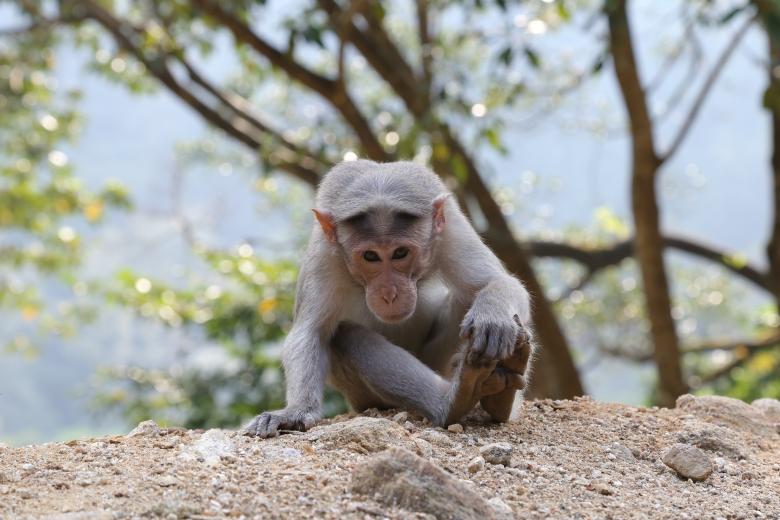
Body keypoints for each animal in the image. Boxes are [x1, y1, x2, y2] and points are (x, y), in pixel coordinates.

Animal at [244, 160, 536, 438]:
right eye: (370, 256)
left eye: (400, 253)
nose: (389, 294)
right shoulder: (325, 252)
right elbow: (310, 331)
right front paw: (294, 411)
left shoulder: (449, 227)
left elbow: (497, 282)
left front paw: (493, 318)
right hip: (363, 398)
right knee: (346, 335)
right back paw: (454, 400)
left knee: (467, 296)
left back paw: (499, 400)